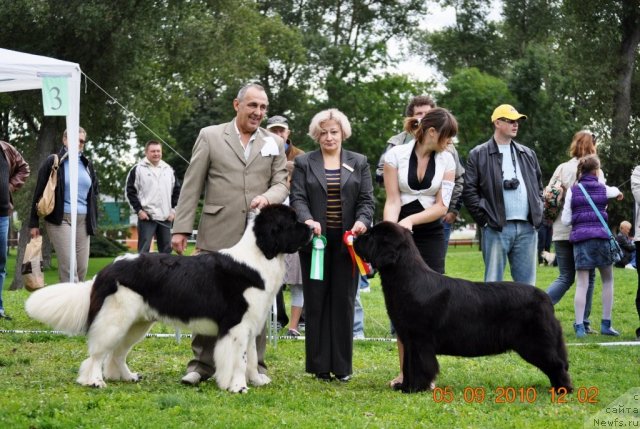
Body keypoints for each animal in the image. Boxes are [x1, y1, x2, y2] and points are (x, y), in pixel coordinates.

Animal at [26, 204, 314, 392]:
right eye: (292, 222)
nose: (312, 228)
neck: (260, 256)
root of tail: (107, 269)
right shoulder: (237, 326)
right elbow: (239, 360)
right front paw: (238, 386)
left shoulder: (251, 324)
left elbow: (252, 358)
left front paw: (256, 380)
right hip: (115, 319)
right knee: (97, 353)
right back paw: (94, 381)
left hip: (137, 324)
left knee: (117, 353)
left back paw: (127, 376)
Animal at [352, 222, 572, 392]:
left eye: (370, 236)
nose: (354, 237)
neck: (406, 279)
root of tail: (545, 298)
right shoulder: (408, 338)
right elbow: (408, 366)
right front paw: (404, 386)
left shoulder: (419, 339)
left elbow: (420, 365)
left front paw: (415, 388)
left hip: (535, 343)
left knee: (558, 365)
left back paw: (562, 390)